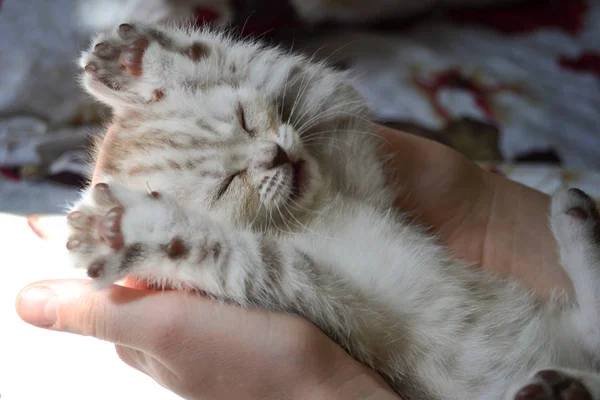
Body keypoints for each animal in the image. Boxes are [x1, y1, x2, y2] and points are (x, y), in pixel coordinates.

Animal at [67, 22, 600, 400]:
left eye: (245, 121)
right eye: (226, 185)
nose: (275, 156)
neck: (315, 210)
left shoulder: (351, 144)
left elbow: (286, 70)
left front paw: (140, 62)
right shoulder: (316, 295)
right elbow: (224, 252)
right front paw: (128, 229)